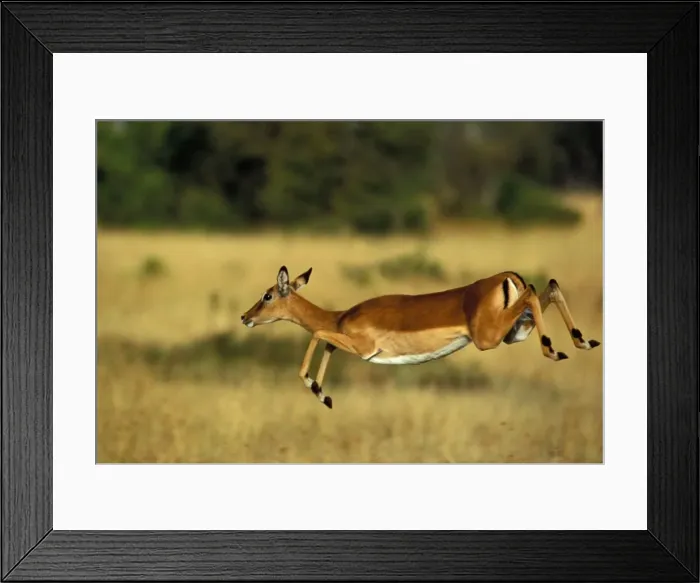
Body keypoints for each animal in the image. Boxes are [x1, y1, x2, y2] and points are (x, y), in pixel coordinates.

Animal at [241, 266, 600, 409]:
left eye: (268, 295)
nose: (245, 317)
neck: (341, 316)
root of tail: (506, 276)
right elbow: (326, 342)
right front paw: (324, 395)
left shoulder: (363, 348)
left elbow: (318, 334)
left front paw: (315, 388)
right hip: (515, 333)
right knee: (549, 286)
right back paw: (583, 342)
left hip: (490, 337)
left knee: (534, 290)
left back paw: (554, 350)